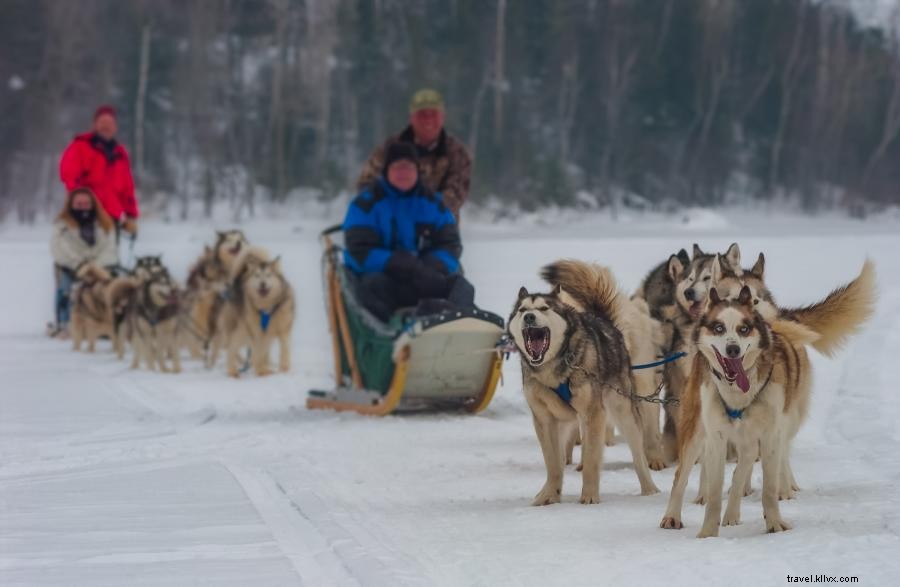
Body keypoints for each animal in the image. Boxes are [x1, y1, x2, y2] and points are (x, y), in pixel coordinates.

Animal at [211, 246, 296, 378]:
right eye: (257, 275)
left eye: (268, 275)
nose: (262, 283)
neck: (267, 308)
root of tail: (237, 282)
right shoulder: (257, 332)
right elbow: (258, 352)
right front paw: (261, 371)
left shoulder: (283, 329)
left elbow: (284, 348)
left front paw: (283, 368)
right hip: (241, 331)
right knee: (231, 348)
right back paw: (233, 371)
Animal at [506, 260, 660, 508]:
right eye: (522, 310)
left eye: (544, 308)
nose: (529, 317)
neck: (555, 366)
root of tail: (607, 323)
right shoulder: (544, 420)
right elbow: (553, 463)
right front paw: (550, 495)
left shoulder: (593, 413)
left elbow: (591, 460)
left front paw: (589, 495)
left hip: (623, 411)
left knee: (637, 455)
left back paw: (650, 489)